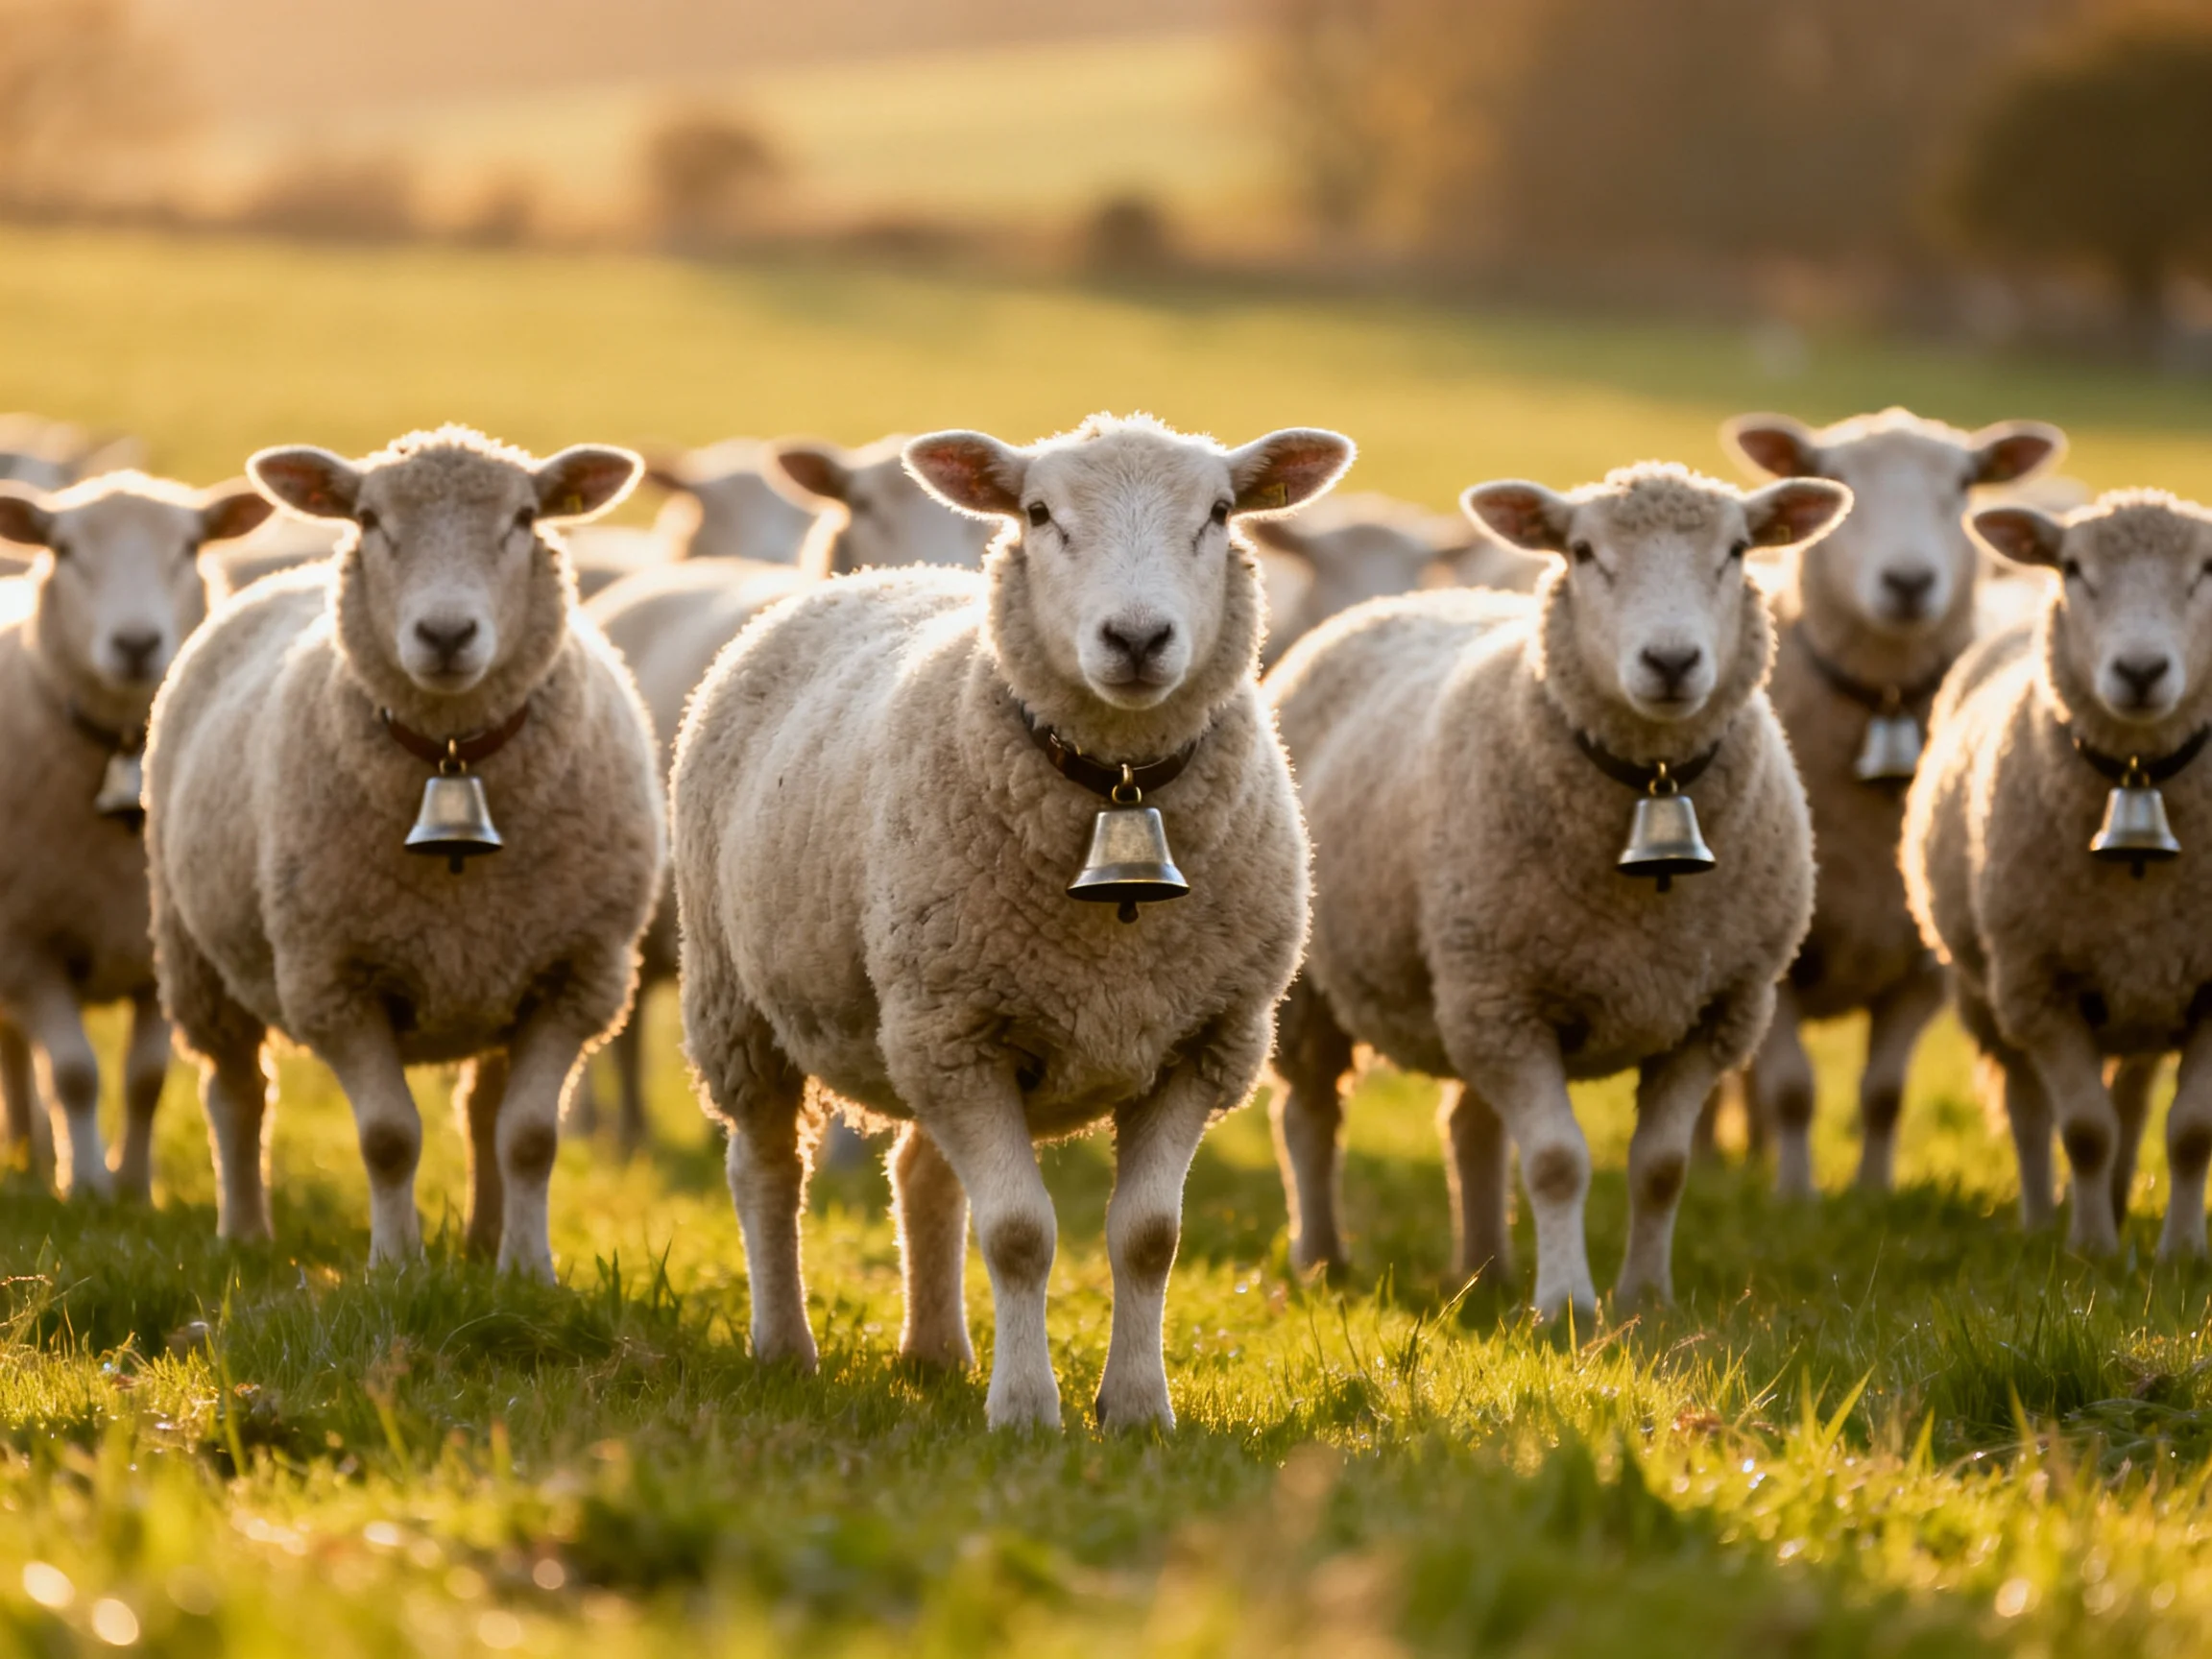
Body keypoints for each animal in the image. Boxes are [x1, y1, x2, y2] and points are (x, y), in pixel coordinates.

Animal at [0, 472, 274, 1197]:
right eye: (64, 550)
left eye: (190, 546)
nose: (135, 644)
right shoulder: (28, 946)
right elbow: (74, 1073)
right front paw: (86, 1187)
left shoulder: (163, 957)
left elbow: (144, 1080)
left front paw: (135, 1187)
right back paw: (33, 1154)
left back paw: (33, 1150)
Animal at [143, 427, 664, 1277]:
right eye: (368, 517)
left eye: (525, 517)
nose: (446, 635)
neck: (452, 757)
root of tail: (285, 575)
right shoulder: (334, 979)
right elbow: (388, 1138)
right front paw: (395, 1269)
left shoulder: (577, 975)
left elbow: (530, 1137)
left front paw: (528, 1272)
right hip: (196, 959)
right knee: (236, 1092)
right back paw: (245, 1233)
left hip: (499, 973)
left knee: (482, 1111)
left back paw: (484, 1242)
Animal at [1267, 462, 1847, 1317]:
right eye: (1582, 552)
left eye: (1738, 550)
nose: (1671, 661)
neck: (1654, 785)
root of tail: (1383, 605)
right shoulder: (1510, 1004)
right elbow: (1555, 1161)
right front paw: (1567, 1305)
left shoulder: (1715, 1013)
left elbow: (1661, 1168)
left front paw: (1647, 1299)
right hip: (1336, 991)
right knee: (1310, 1114)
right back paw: (1321, 1258)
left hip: (1470, 990)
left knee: (1468, 1126)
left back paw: (1485, 1268)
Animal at [1719, 407, 2065, 1196]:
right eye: (1834, 478)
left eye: (1964, 485)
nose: (1909, 581)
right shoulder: (1780, 960)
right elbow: (1793, 1089)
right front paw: (1794, 1197)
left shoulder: (1922, 966)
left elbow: (1883, 1093)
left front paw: (1871, 1192)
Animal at [1903, 491, 2212, 1258]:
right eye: (2073, 568)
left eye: (2207, 569)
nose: (2140, 671)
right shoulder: (2039, 987)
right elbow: (2084, 1129)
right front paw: (2093, 1251)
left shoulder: (2211, 987)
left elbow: (2190, 1132)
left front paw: (2181, 1253)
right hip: (1987, 993)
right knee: (2027, 1107)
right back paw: (2044, 1218)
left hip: (2143, 991)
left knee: (2132, 1095)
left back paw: (2125, 1197)